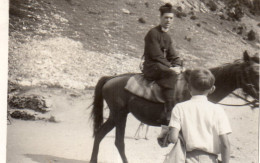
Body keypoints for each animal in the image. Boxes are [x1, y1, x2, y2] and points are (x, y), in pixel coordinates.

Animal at [89, 51, 258, 163]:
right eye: (253, 72)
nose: (258, 97)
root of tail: (111, 79)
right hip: (120, 115)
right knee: (118, 142)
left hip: (115, 116)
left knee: (100, 134)